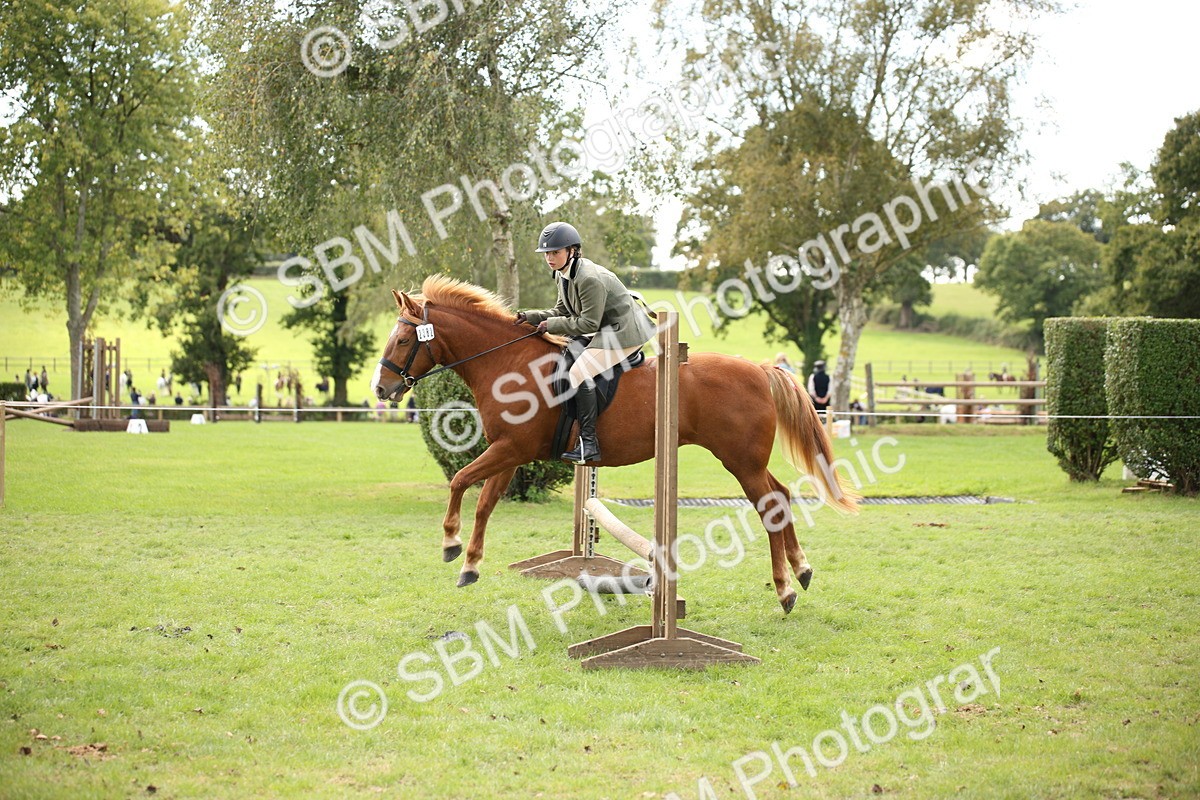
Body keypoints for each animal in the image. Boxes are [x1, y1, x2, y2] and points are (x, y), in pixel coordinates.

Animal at [371, 276, 859, 613]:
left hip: (740, 461)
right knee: (782, 495)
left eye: (402, 339)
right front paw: (470, 564)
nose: (381, 389)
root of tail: (759, 369)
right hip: (748, 460)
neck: (507, 364)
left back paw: (786, 589)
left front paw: (450, 544)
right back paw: (802, 570)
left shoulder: (510, 450)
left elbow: (458, 480)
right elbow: (485, 504)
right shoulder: (510, 453)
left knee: (770, 505)